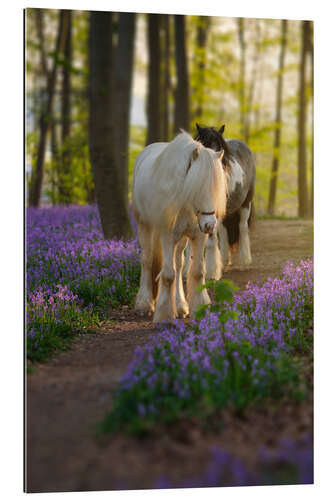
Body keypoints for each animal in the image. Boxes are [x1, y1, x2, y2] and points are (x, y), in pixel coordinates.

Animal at [131, 131, 227, 322]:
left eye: (215, 189)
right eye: (197, 187)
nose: (210, 225)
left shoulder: (198, 236)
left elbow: (197, 272)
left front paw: (199, 308)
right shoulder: (167, 236)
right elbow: (168, 275)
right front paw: (164, 316)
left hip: (181, 239)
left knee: (178, 264)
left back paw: (181, 306)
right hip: (144, 225)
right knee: (147, 260)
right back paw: (144, 305)